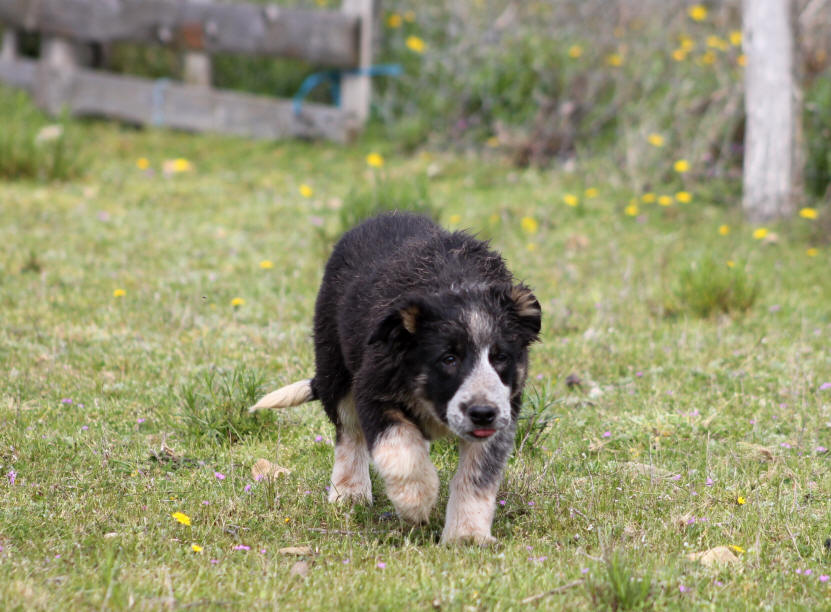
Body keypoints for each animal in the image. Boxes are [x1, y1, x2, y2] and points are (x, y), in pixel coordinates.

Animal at [250, 212, 544, 544]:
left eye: (500, 357)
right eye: (449, 359)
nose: (483, 413)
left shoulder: (503, 414)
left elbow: (477, 476)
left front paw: (466, 536)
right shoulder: (372, 389)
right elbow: (400, 448)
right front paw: (417, 501)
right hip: (334, 366)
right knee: (349, 433)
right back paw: (349, 492)